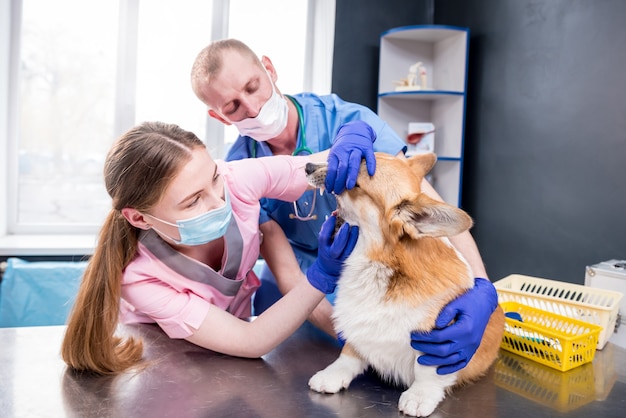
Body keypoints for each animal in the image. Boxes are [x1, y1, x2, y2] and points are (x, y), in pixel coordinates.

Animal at [304, 152, 504, 416]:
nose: (307, 166)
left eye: (354, 183)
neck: (381, 267)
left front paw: (419, 396)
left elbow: (427, 370)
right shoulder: (357, 327)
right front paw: (332, 375)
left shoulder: (437, 339)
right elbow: (349, 352)